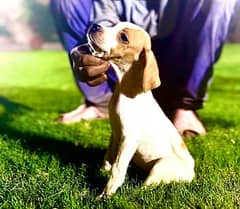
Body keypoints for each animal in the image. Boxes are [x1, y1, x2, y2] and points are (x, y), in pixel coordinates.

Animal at [77, 22, 195, 198]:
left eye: (124, 37)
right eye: (114, 24)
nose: (95, 26)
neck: (125, 89)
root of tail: (192, 173)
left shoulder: (128, 139)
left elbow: (117, 169)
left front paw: (105, 195)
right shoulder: (116, 133)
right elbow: (109, 156)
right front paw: (103, 170)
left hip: (160, 166)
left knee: (146, 188)